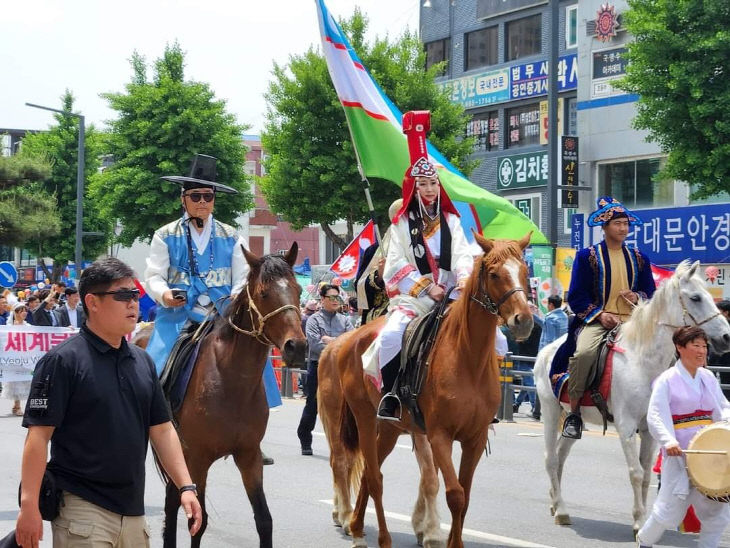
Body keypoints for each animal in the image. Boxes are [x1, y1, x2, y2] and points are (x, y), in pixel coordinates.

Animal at [158, 245, 306, 548]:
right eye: (264, 293)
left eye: (298, 290)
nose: (296, 346)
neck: (232, 381)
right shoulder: (197, 458)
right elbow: (197, 521)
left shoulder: (248, 456)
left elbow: (264, 520)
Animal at [322, 232, 532, 548]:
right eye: (495, 274)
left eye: (525, 272)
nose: (524, 320)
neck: (468, 358)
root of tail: (349, 339)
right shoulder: (439, 435)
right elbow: (455, 494)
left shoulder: (475, 438)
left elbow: (465, 496)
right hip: (363, 418)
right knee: (370, 475)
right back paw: (375, 535)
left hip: (391, 427)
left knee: (371, 474)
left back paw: (357, 526)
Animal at [532, 260, 728, 536]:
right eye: (696, 298)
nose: (726, 337)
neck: (642, 361)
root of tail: (545, 351)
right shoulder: (626, 425)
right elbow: (635, 472)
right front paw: (638, 522)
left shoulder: (649, 428)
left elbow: (645, 474)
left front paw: (643, 521)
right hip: (550, 409)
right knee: (550, 459)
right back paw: (561, 510)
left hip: (573, 414)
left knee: (560, 457)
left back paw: (555, 502)